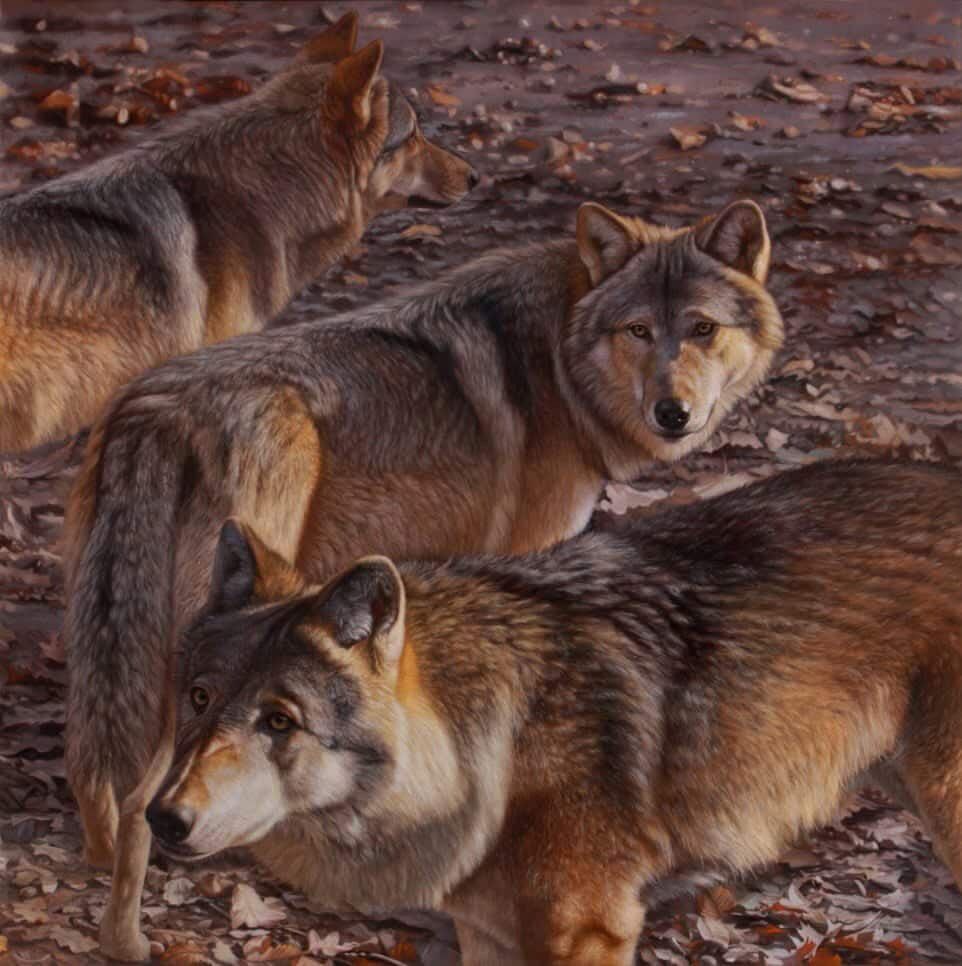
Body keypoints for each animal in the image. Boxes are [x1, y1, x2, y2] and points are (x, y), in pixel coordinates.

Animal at [65, 197, 783, 959]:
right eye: (639, 330)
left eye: (702, 328)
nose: (672, 413)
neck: (558, 358)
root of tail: (153, 411)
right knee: (141, 799)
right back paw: (131, 941)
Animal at [148, 458, 962, 966]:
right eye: (199, 699)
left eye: (279, 721)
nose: (162, 818)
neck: (499, 743)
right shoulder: (489, 933)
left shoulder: (587, 930)